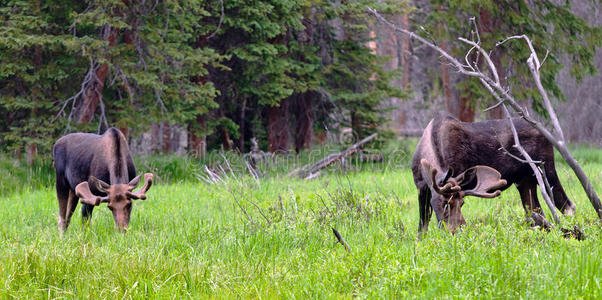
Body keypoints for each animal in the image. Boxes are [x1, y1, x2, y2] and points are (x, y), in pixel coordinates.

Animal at [410, 111, 576, 233]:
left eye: (462, 203)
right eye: (444, 203)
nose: (458, 230)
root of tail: (546, 133)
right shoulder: (421, 187)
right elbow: (422, 228)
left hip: (546, 168)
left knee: (567, 206)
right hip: (524, 180)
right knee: (535, 212)